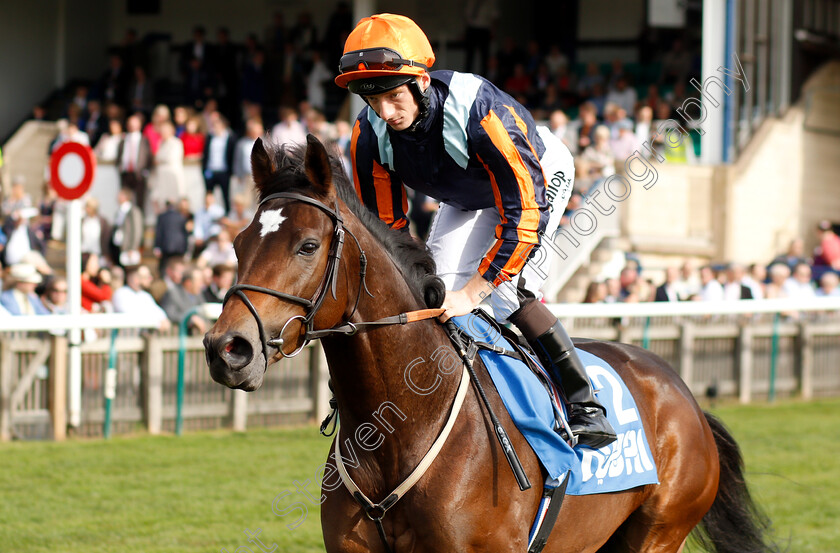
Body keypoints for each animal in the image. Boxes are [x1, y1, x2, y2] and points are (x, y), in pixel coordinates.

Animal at [202, 135, 776, 552]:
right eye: (238, 242)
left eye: (307, 245)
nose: (227, 348)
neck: (399, 426)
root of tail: (684, 395)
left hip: (658, 533)